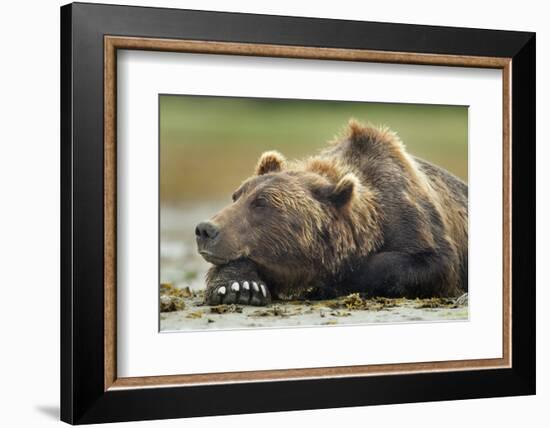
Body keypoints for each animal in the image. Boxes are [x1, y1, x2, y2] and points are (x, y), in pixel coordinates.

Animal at [196, 118, 468, 306]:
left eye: (261, 203)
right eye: (237, 196)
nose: (205, 230)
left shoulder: (411, 217)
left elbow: (431, 262)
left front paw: (331, 282)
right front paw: (241, 287)